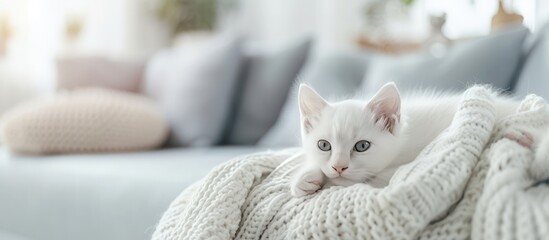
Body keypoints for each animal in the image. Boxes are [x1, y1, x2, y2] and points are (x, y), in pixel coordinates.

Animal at [292, 81, 520, 196]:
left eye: (362, 146)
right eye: (323, 145)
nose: (339, 167)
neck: (403, 142)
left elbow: (374, 178)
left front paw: (327, 181)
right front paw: (306, 177)